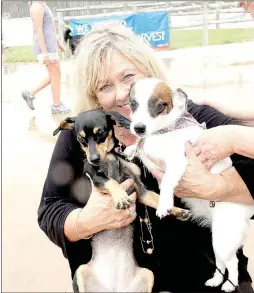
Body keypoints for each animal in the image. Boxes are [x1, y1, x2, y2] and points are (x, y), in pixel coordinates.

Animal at [53, 109, 190, 290]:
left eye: (101, 133)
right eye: (81, 139)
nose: (94, 159)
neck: (110, 158)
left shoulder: (140, 189)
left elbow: (156, 198)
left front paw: (178, 211)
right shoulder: (94, 175)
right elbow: (109, 180)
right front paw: (120, 197)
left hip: (148, 275)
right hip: (81, 271)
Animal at [124, 76, 254, 290]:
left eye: (159, 105)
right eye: (133, 104)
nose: (139, 128)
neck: (162, 132)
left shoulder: (178, 161)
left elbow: (167, 182)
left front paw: (165, 204)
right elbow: (139, 148)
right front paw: (130, 148)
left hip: (225, 238)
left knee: (233, 263)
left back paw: (230, 284)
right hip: (216, 238)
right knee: (220, 263)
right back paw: (215, 280)